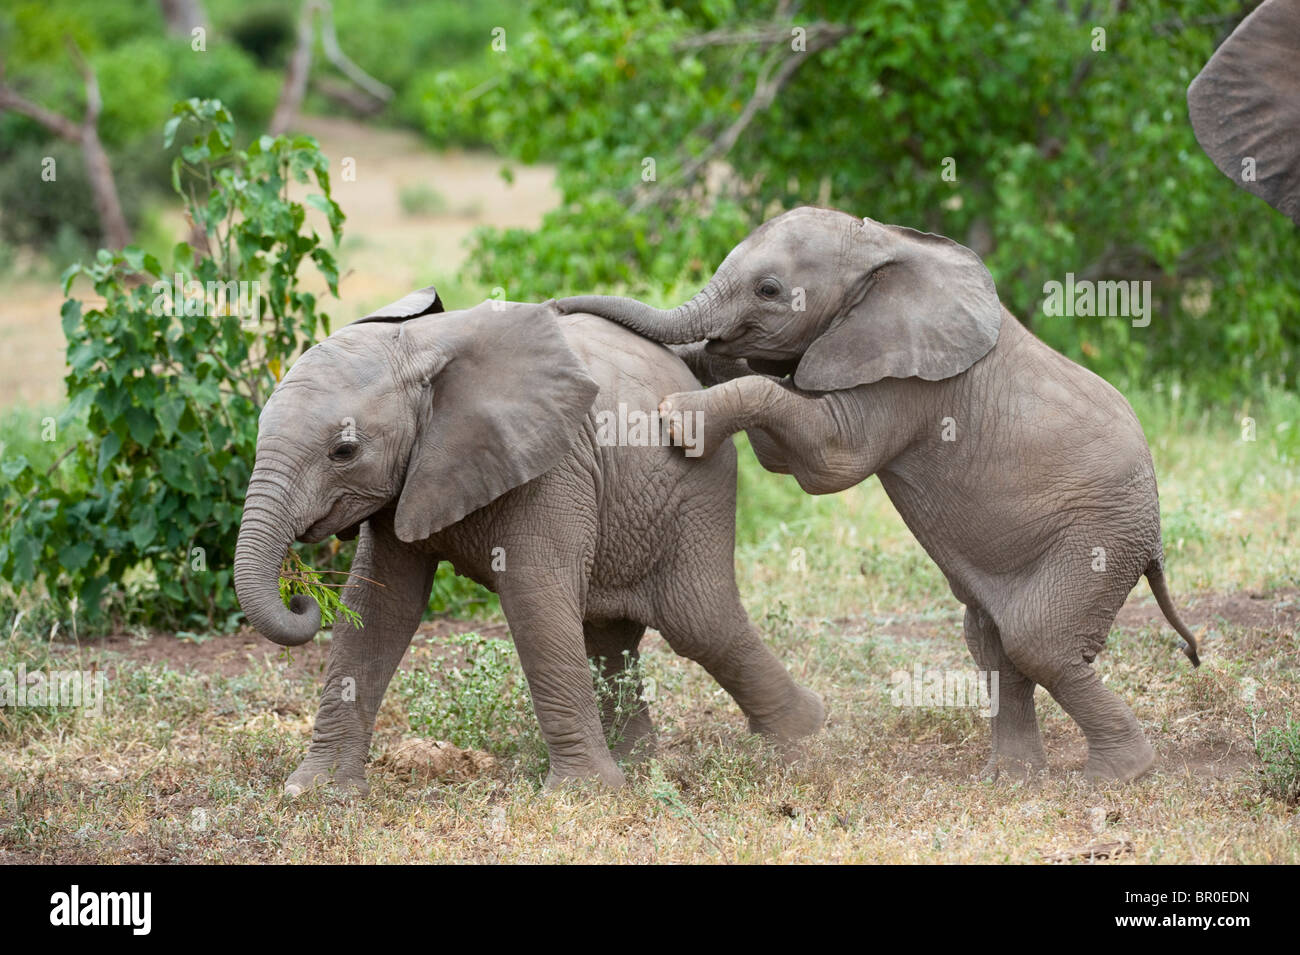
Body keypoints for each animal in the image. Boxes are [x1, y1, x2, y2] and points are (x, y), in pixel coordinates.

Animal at [233, 289, 821, 789]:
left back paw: (807, 737)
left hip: (697, 484)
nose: (301, 596)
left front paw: (583, 797)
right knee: (609, 634)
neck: (421, 347)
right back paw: (639, 765)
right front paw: (315, 793)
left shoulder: (552, 460)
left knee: (701, 623)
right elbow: (378, 609)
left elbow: (534, 594)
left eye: (345, 451)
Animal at [556, 209, 1196, 784]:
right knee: (995, 643)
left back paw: (1116, 776)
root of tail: (1155, 542)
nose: (557, 307)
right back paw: (1012, 780)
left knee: (1041, 644)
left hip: (1100, 540)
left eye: (770, 290)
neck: (884, 246)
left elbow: (826, 460)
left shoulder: (909, 381)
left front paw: (680, 418)